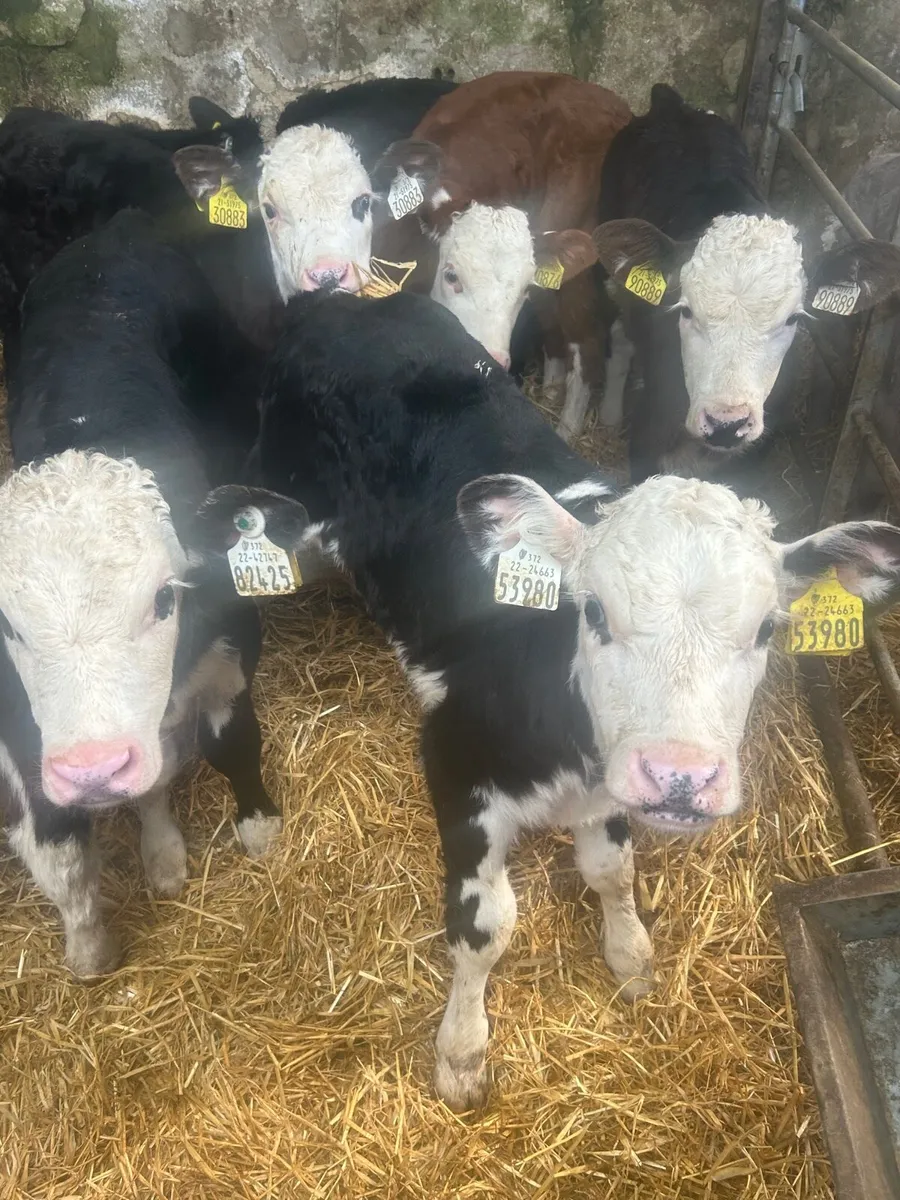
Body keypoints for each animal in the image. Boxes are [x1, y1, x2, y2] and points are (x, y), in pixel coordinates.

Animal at [0, 210, 280, 978]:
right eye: (10, 627)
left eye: (163, 599)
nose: (94, 769)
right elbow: (63, 851)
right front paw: (92, 947)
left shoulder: (231, 652)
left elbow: (231, 744)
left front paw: (255, 828)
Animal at [197, 288, 900, 1110]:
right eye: (592, 612)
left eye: (766, 629)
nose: (681, 776)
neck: (568, 738)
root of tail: (341, 299)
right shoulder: (455, 764)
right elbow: (485, 927)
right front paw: (461, 1052)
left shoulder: (607, 787)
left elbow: (611, 870)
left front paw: (630, 955)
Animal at [592, 85, 900, 481]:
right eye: (686, 311)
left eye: (793, 319)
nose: (727, 423)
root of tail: (672, 103)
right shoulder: (648, 437)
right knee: (619, 333)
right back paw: (610, 412)